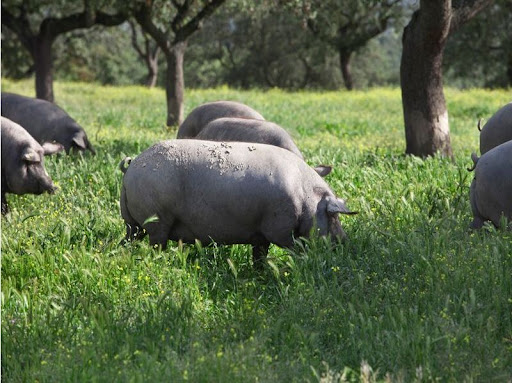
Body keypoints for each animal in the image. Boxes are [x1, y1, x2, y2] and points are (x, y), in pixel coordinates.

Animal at [119, 140, 356, 266]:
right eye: (333, 215)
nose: (345, 242)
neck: (306, 200)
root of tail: (132, 167)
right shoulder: (277, 229)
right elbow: (292, 247)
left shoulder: (260, 234)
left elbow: (259, 256)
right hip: (157, 221)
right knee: (156, 245)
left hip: (133, 224)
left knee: (126, 241)